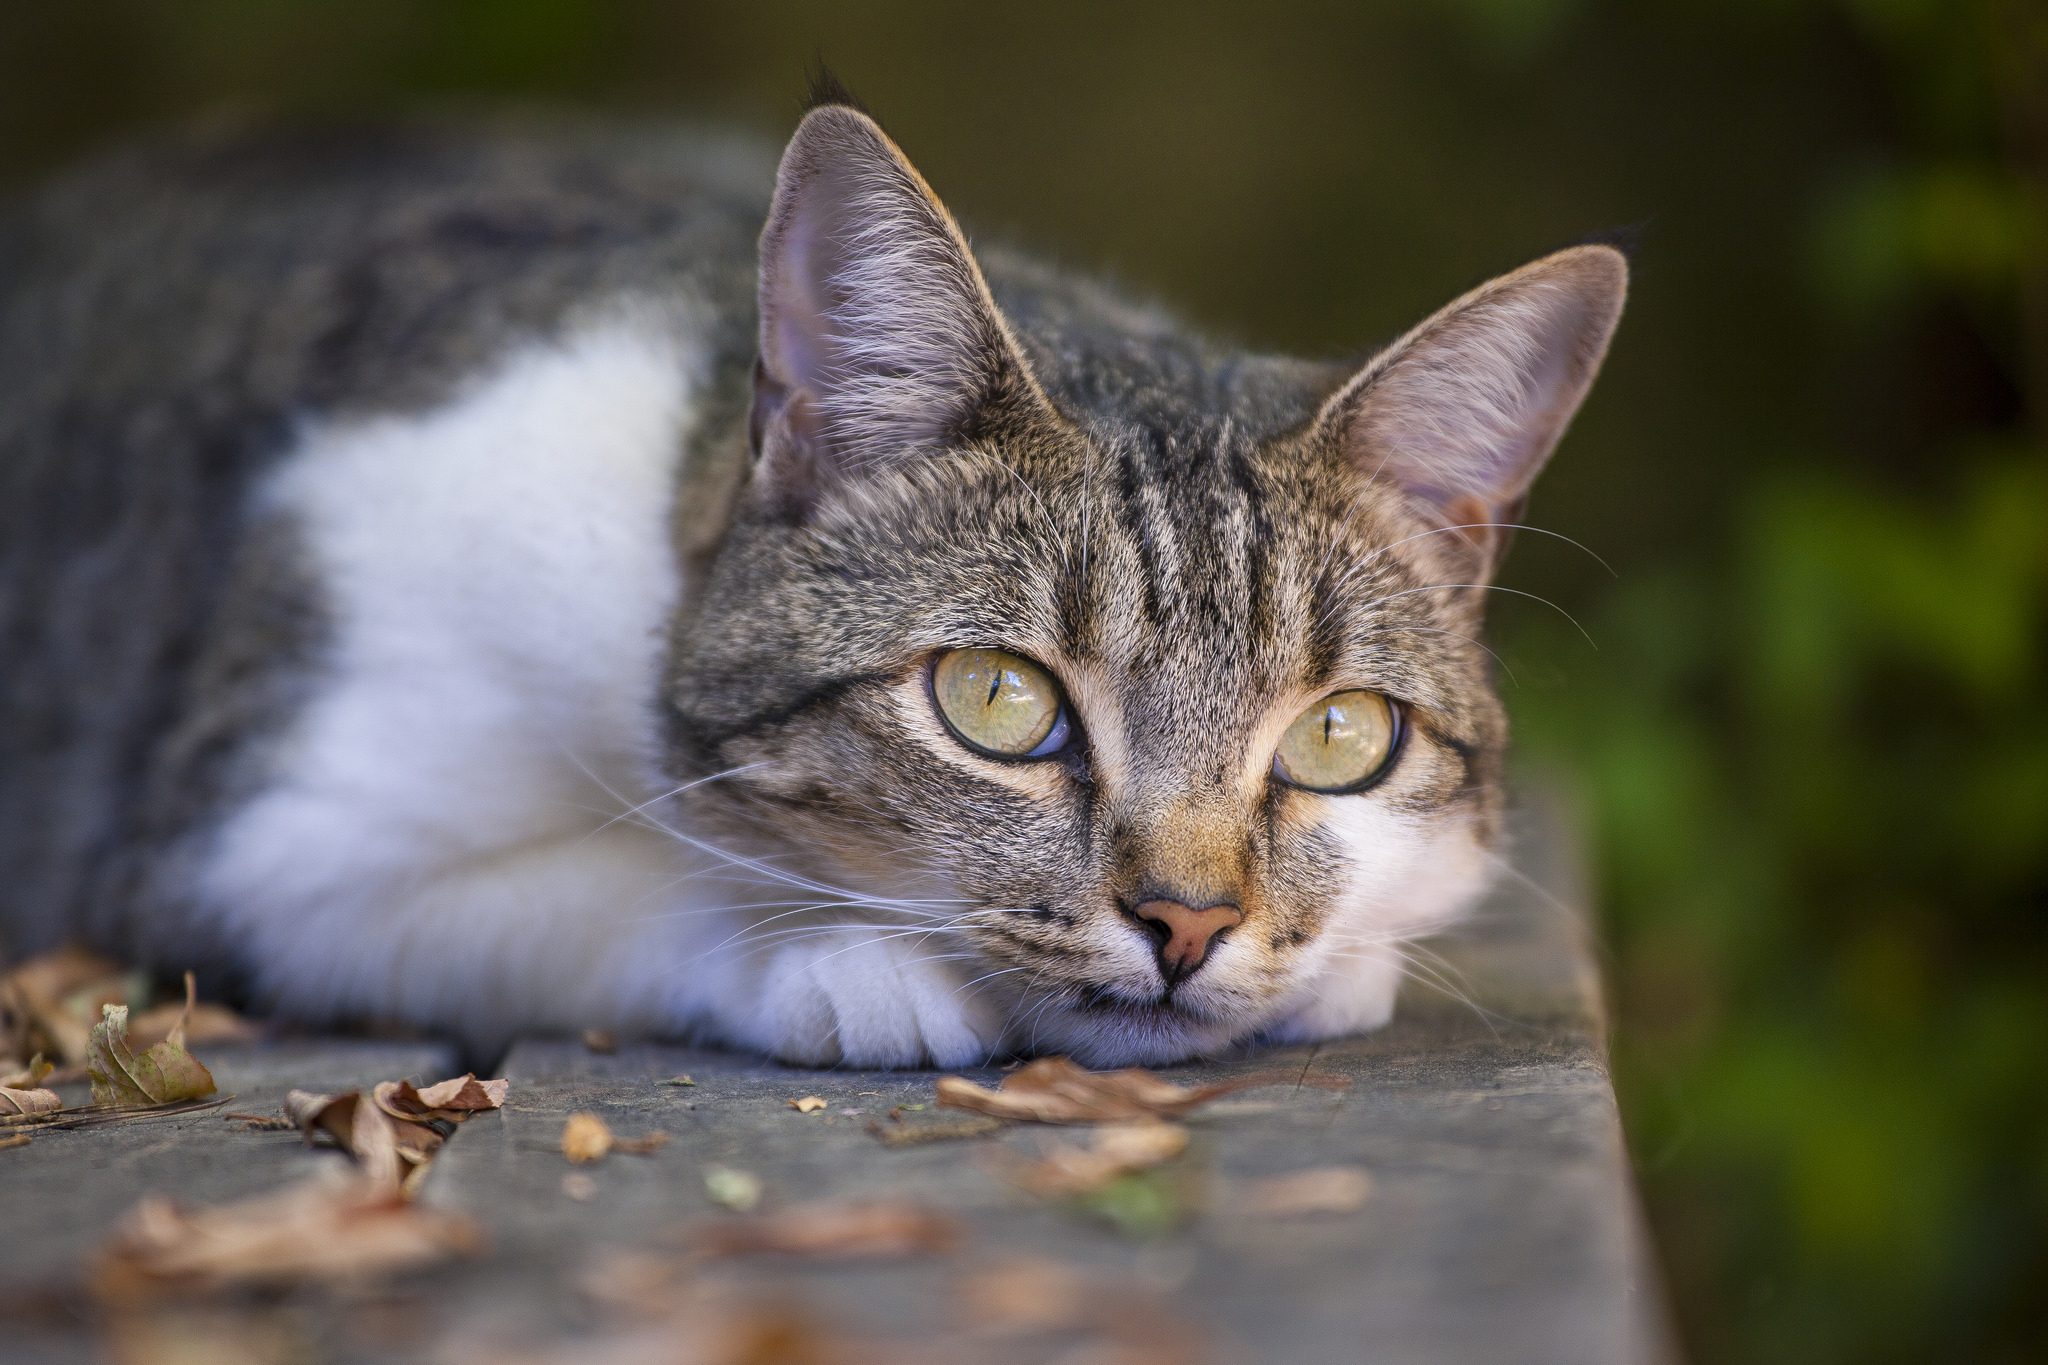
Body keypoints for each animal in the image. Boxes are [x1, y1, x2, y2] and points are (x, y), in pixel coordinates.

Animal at [0, 90, 1630, 1072]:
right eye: (997, 701)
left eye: (1340, 737)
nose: (1187, 924)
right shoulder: (262, 838)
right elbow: (626, 887)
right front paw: (848, 961)